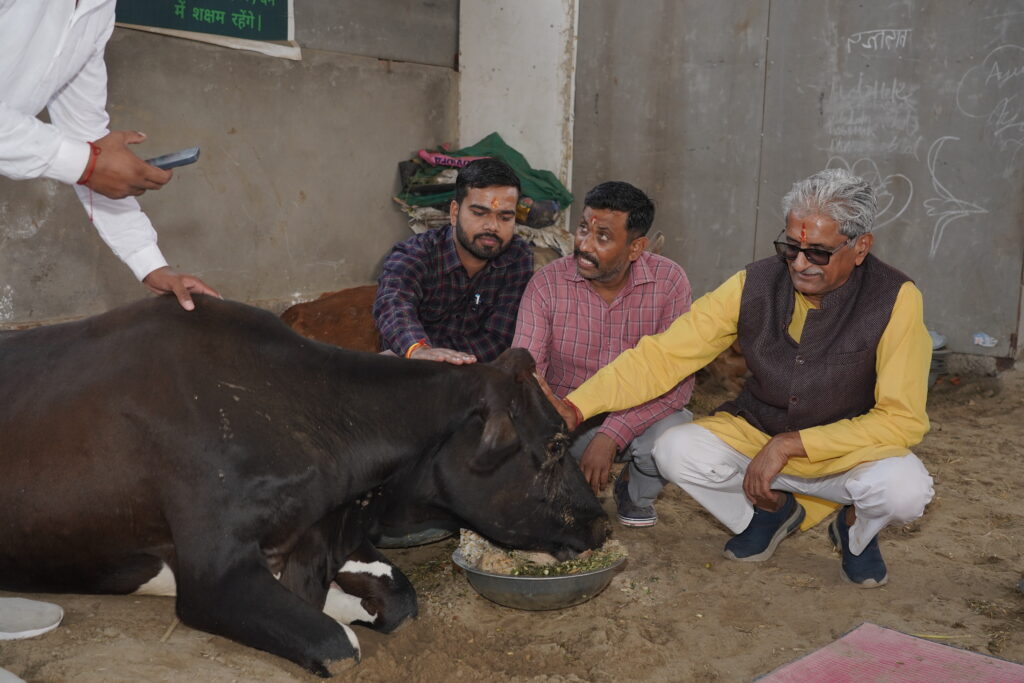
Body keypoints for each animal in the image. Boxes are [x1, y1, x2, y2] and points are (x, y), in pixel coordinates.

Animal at [0, 296, 606, 675]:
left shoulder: (330, 531)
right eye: (556, 444)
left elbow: (399, 598)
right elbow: (340, 646)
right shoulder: (214, 572)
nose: (601, 522)